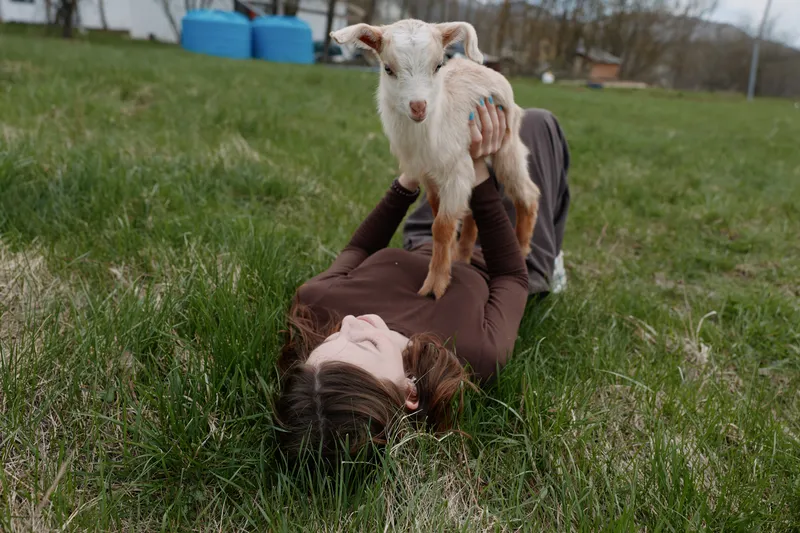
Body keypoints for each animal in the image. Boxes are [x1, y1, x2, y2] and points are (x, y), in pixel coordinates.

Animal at [331, 19, 540, 299]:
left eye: (438, 65)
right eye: (388, 68)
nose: (419, 107)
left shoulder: (457, 172)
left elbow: (441, 226)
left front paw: (435, 285)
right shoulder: (428, 174)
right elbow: (437, 215)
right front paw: (448, 260)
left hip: (507, 143)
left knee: (527, 193)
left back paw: (522, 249)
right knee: (474, 209)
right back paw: (463, 256)